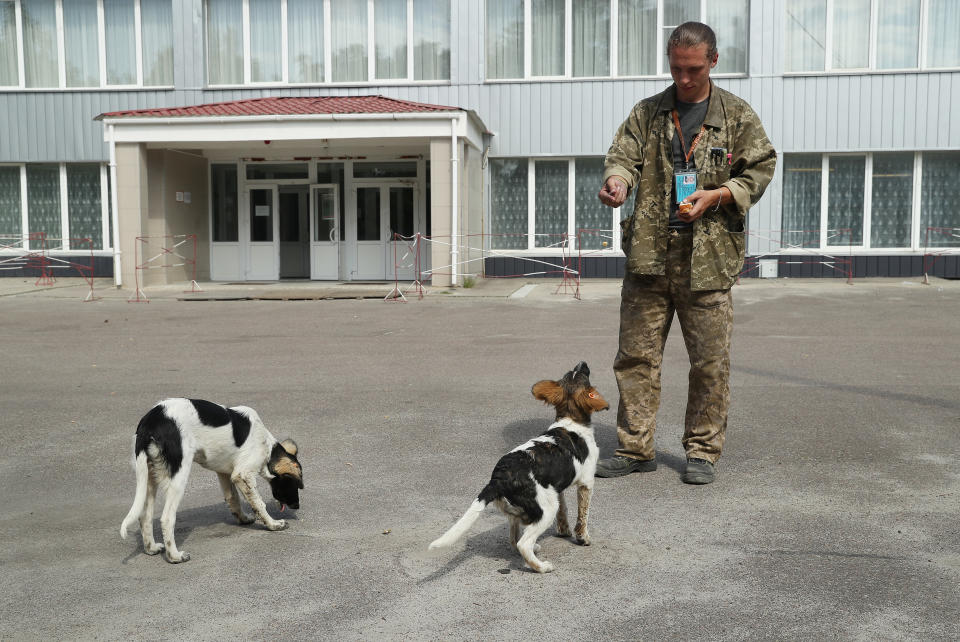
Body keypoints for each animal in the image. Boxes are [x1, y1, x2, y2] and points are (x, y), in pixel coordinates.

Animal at [118, 396, 304, 560]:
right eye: (294, 484)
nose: (297, 506)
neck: (268, 448)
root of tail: (150, 422)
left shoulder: (225, 473)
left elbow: (233, 498)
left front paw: (243, 518)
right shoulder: (242, 474)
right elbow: (259, 503)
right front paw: (273, 524)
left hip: (148, 476)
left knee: (144, 515)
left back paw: (151, 548)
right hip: (178, 476)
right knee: (167, 518)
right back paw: (175, 556)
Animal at [434, 362, 612, 572]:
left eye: (572, 373)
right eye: (583, 375)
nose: (582, 363)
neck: (570, 420)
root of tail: (499, 478)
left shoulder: (557, 488)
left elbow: (564, 512)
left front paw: (564, 531)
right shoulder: (586, 483)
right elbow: (583, 516)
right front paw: (583, 538)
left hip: (520, 509)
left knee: (514, 539)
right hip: (546, 508)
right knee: (522, 543)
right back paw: (541, 566)